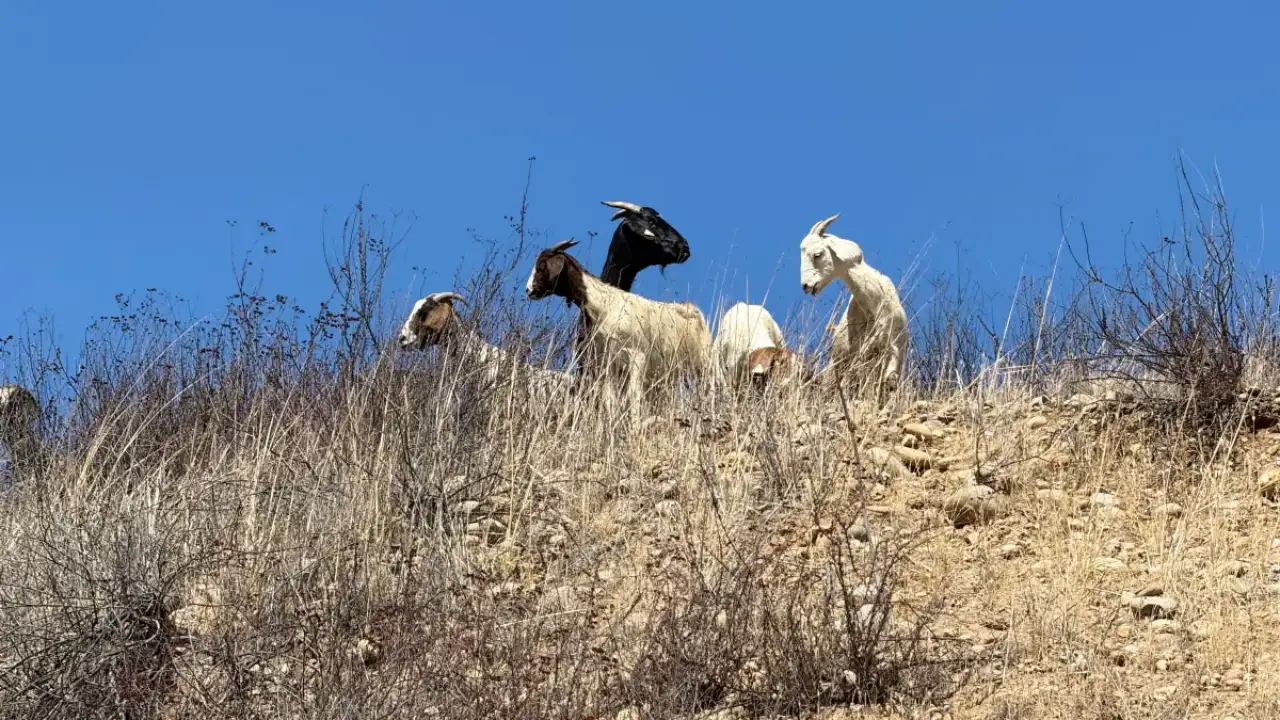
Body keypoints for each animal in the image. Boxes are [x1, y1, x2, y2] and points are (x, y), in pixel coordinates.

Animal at [525, 239, 711, 415]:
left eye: (542, 266)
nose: (528, 290)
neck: (603, 304)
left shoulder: (637, 356)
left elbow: (633, 396)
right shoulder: (609, 363)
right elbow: (610, 399)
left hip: (703, 363)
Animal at [799, 214, 908, 396]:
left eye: (817, 254)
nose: (806, 286)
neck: (876, 304)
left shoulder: (895, 348)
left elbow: (890, 381)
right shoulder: (861, 355)